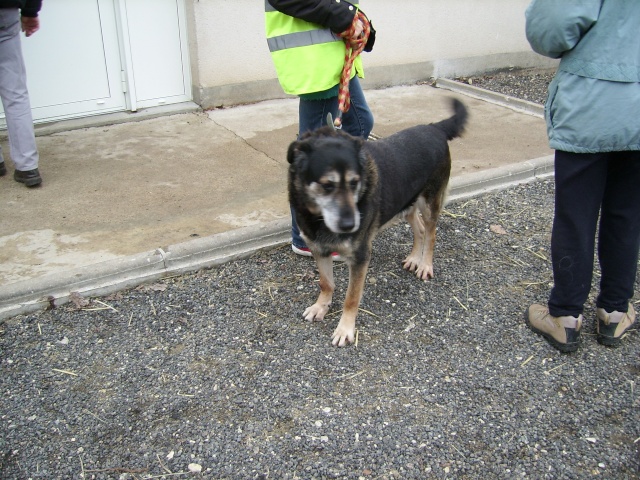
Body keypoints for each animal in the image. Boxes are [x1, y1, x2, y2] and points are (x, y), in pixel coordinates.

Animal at [288, 98, 468, 344]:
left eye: (354, 182)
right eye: (327, 185)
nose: (350, 225)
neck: (318, 217)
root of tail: (435, 128)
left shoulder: (360, 257)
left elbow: (351, 297)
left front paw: (345, 329)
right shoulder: (319, 248)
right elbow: (326, 282)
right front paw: (321, 307)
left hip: (429, 203)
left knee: (431, 233)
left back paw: (425, 264)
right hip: (405, 203)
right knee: (420, 229)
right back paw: (414, 258)